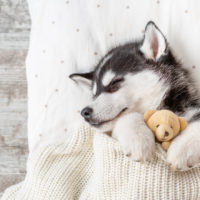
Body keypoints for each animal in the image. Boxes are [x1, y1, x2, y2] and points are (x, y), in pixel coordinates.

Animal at [69, 21, 200, 170]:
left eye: (114, 83)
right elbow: (129, 116)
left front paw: (183, 147)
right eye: (95, 94)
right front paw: (138, 140)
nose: (85, 112)